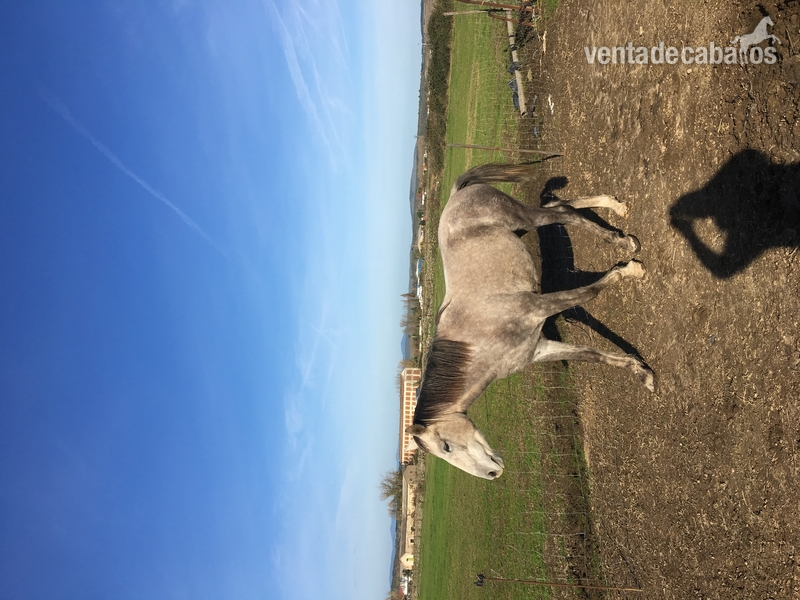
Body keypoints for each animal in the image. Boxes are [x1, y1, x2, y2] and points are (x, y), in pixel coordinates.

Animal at [406, 163, 655, 480]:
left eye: (446, 447)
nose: (493, 474)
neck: (479, 342)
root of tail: (455, 195)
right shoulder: (540, 348)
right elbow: (594, 356)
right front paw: (642, 373)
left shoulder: (540, 306)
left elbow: (590, 292)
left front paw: (630, 270)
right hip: (523, 225)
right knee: (557, 205)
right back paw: (615, 206)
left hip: (522, 218)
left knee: (564, 213)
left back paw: (623, 241)